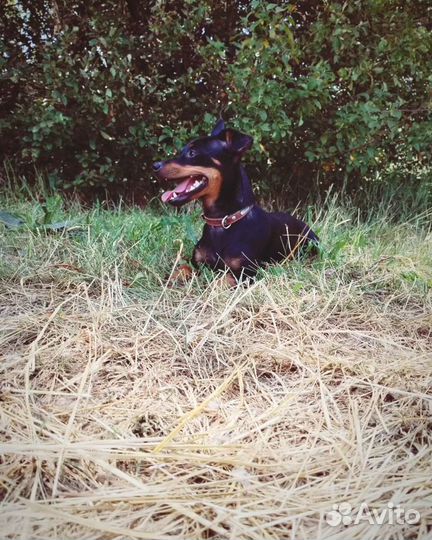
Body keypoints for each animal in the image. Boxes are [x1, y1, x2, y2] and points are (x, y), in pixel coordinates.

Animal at [152, 120, 318, 284]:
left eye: (192, 153)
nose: (155, 166)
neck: (223, 221)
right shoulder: (197, 264)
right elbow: (182, 268)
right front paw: (169, 279)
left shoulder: (245, 274)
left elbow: (220, 282)